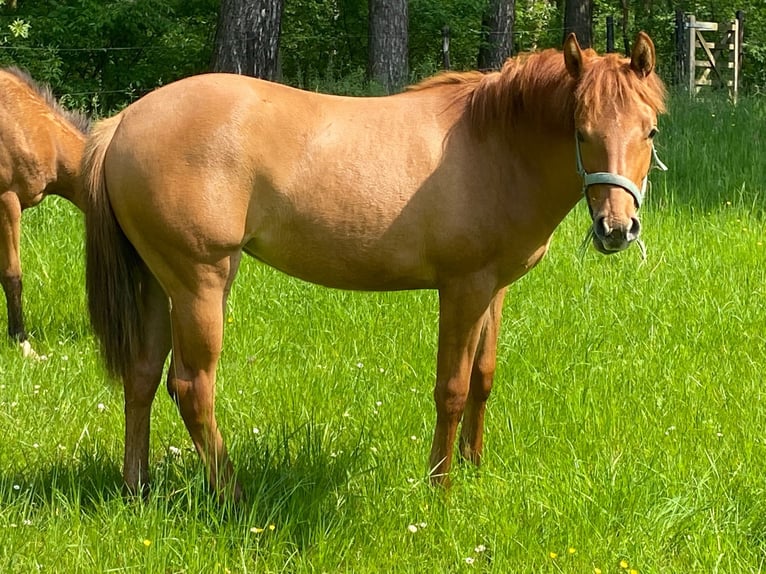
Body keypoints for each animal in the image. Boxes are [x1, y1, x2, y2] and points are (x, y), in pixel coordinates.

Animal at [83, 32, 667, 499]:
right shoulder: (464, 288)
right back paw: (232, 493)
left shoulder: (494, 288)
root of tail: (124, 122)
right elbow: (451, 389)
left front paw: (475, 469)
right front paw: (441, 488)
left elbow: (483, 378)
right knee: (191, 388)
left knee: (141, 375)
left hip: (158, 284)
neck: (495, 145)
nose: (617, 229)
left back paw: (136, 488)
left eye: (650, 131)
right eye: (581, 129)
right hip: (201, 283)